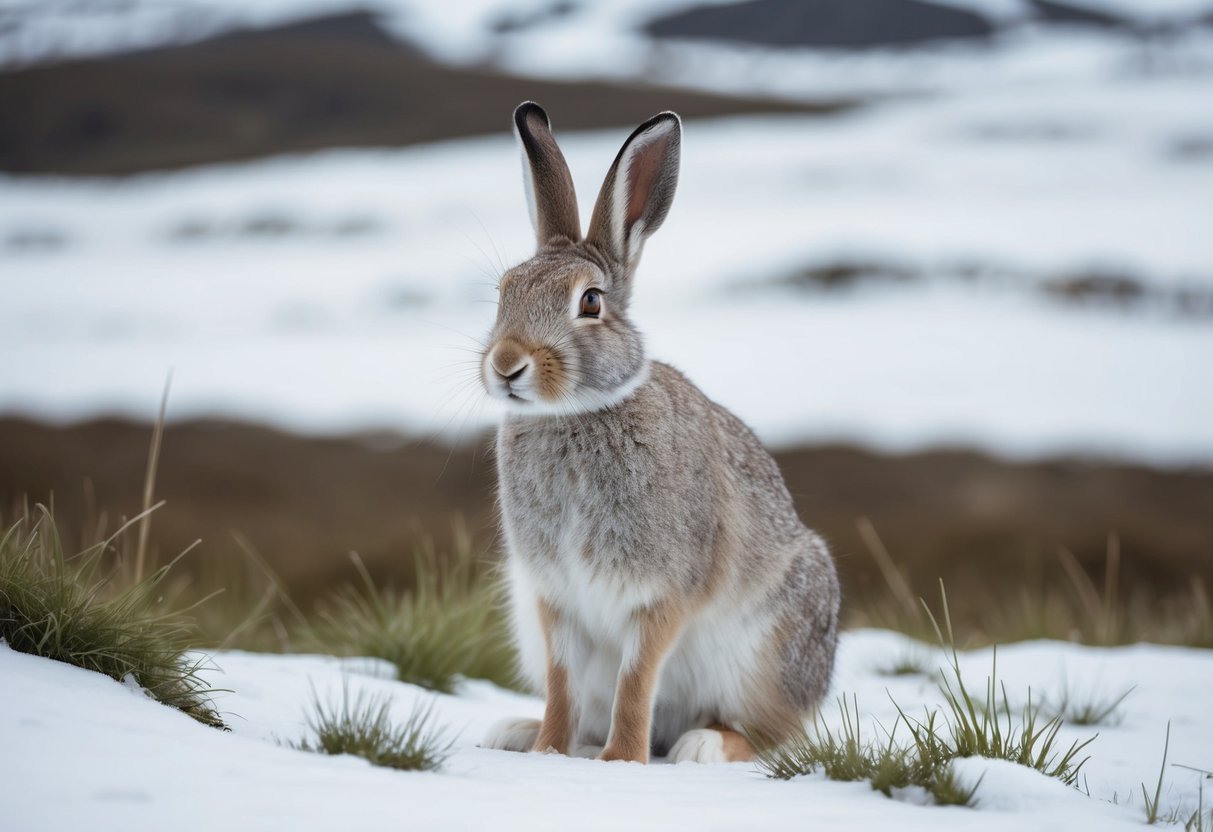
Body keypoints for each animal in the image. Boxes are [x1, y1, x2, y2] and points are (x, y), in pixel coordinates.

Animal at [479, 102, 840, 764]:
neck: (575, 415)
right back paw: (515, 732)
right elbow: (564, 685)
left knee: (768, 735)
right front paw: (547, 750)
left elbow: (637, 678)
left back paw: (700, 745)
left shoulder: (661, 594)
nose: (507, 364)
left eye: (590, 302)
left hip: (769, 648)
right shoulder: (554, 601)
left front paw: (622, 760)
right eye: (504, 291)